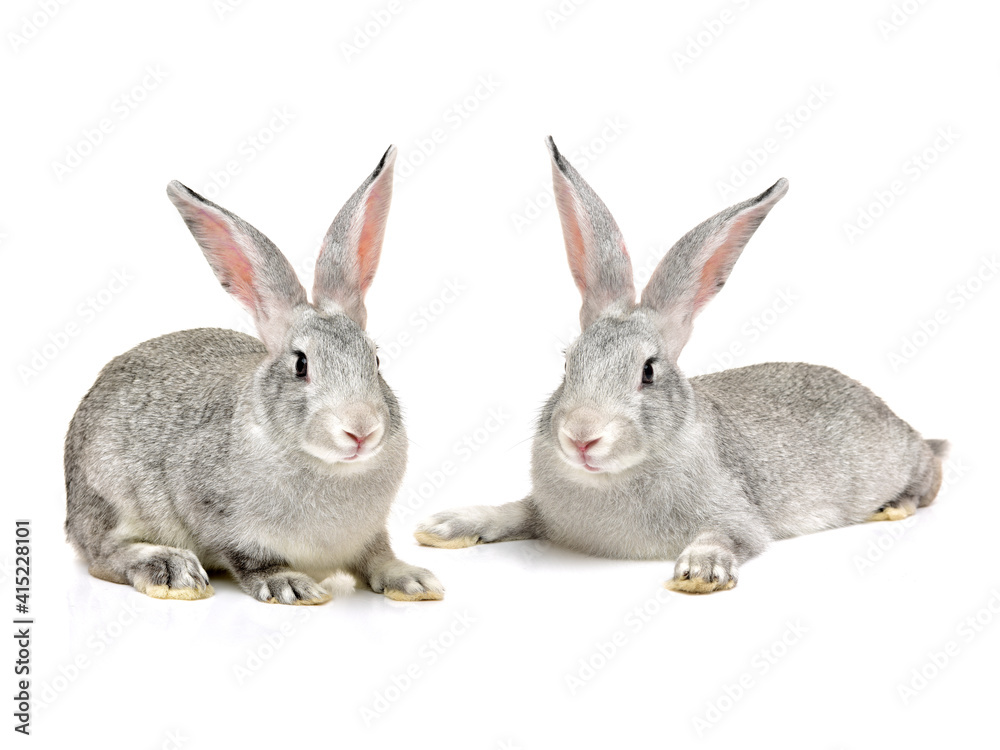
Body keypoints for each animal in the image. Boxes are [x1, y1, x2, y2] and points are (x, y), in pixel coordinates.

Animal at [64, 146, 443, 604]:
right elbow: (251, 560)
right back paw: (170, 570)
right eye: (301, 365)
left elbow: (378, 557)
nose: (361, 430)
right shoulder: (219, 518)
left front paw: (412, 579)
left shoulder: (369, 535)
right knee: (103, 553)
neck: (328, 466)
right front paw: (292, 586)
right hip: (109, 495)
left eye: (375, 360)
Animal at [414, 136, 947, 594]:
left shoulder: (738, 517)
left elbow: (728, 535)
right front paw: (445, 526)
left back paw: (893, 506)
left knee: (930, 475)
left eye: (648, 371)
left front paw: (700, 570)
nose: (581, 436)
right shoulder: (542, 511)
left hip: (901, 461)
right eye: (567, 365)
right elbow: (513, 512)